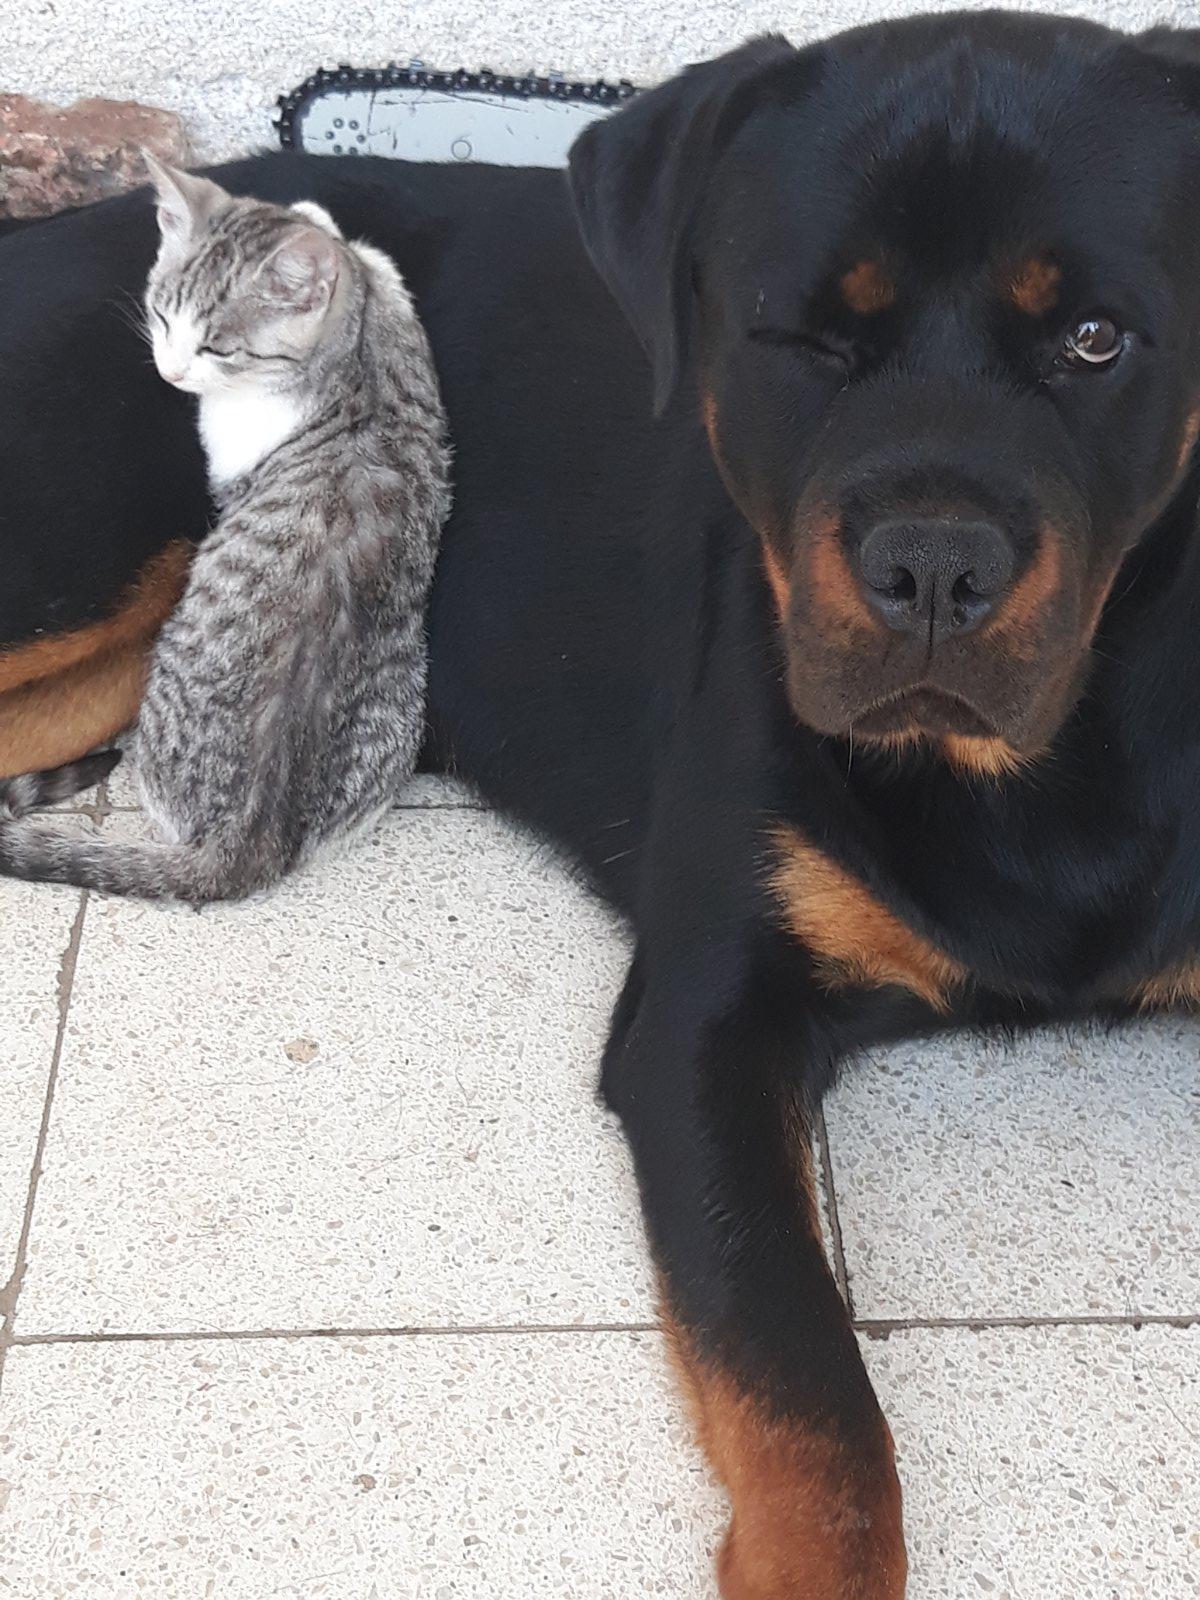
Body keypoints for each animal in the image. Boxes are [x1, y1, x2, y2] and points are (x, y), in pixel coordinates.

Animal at [0, 154, 451, 901]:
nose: (170, 369)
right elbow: (353, 254)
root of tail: (243, 845)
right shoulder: (393, 312)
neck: (352, 363)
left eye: (215, 347)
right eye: (161, 315)